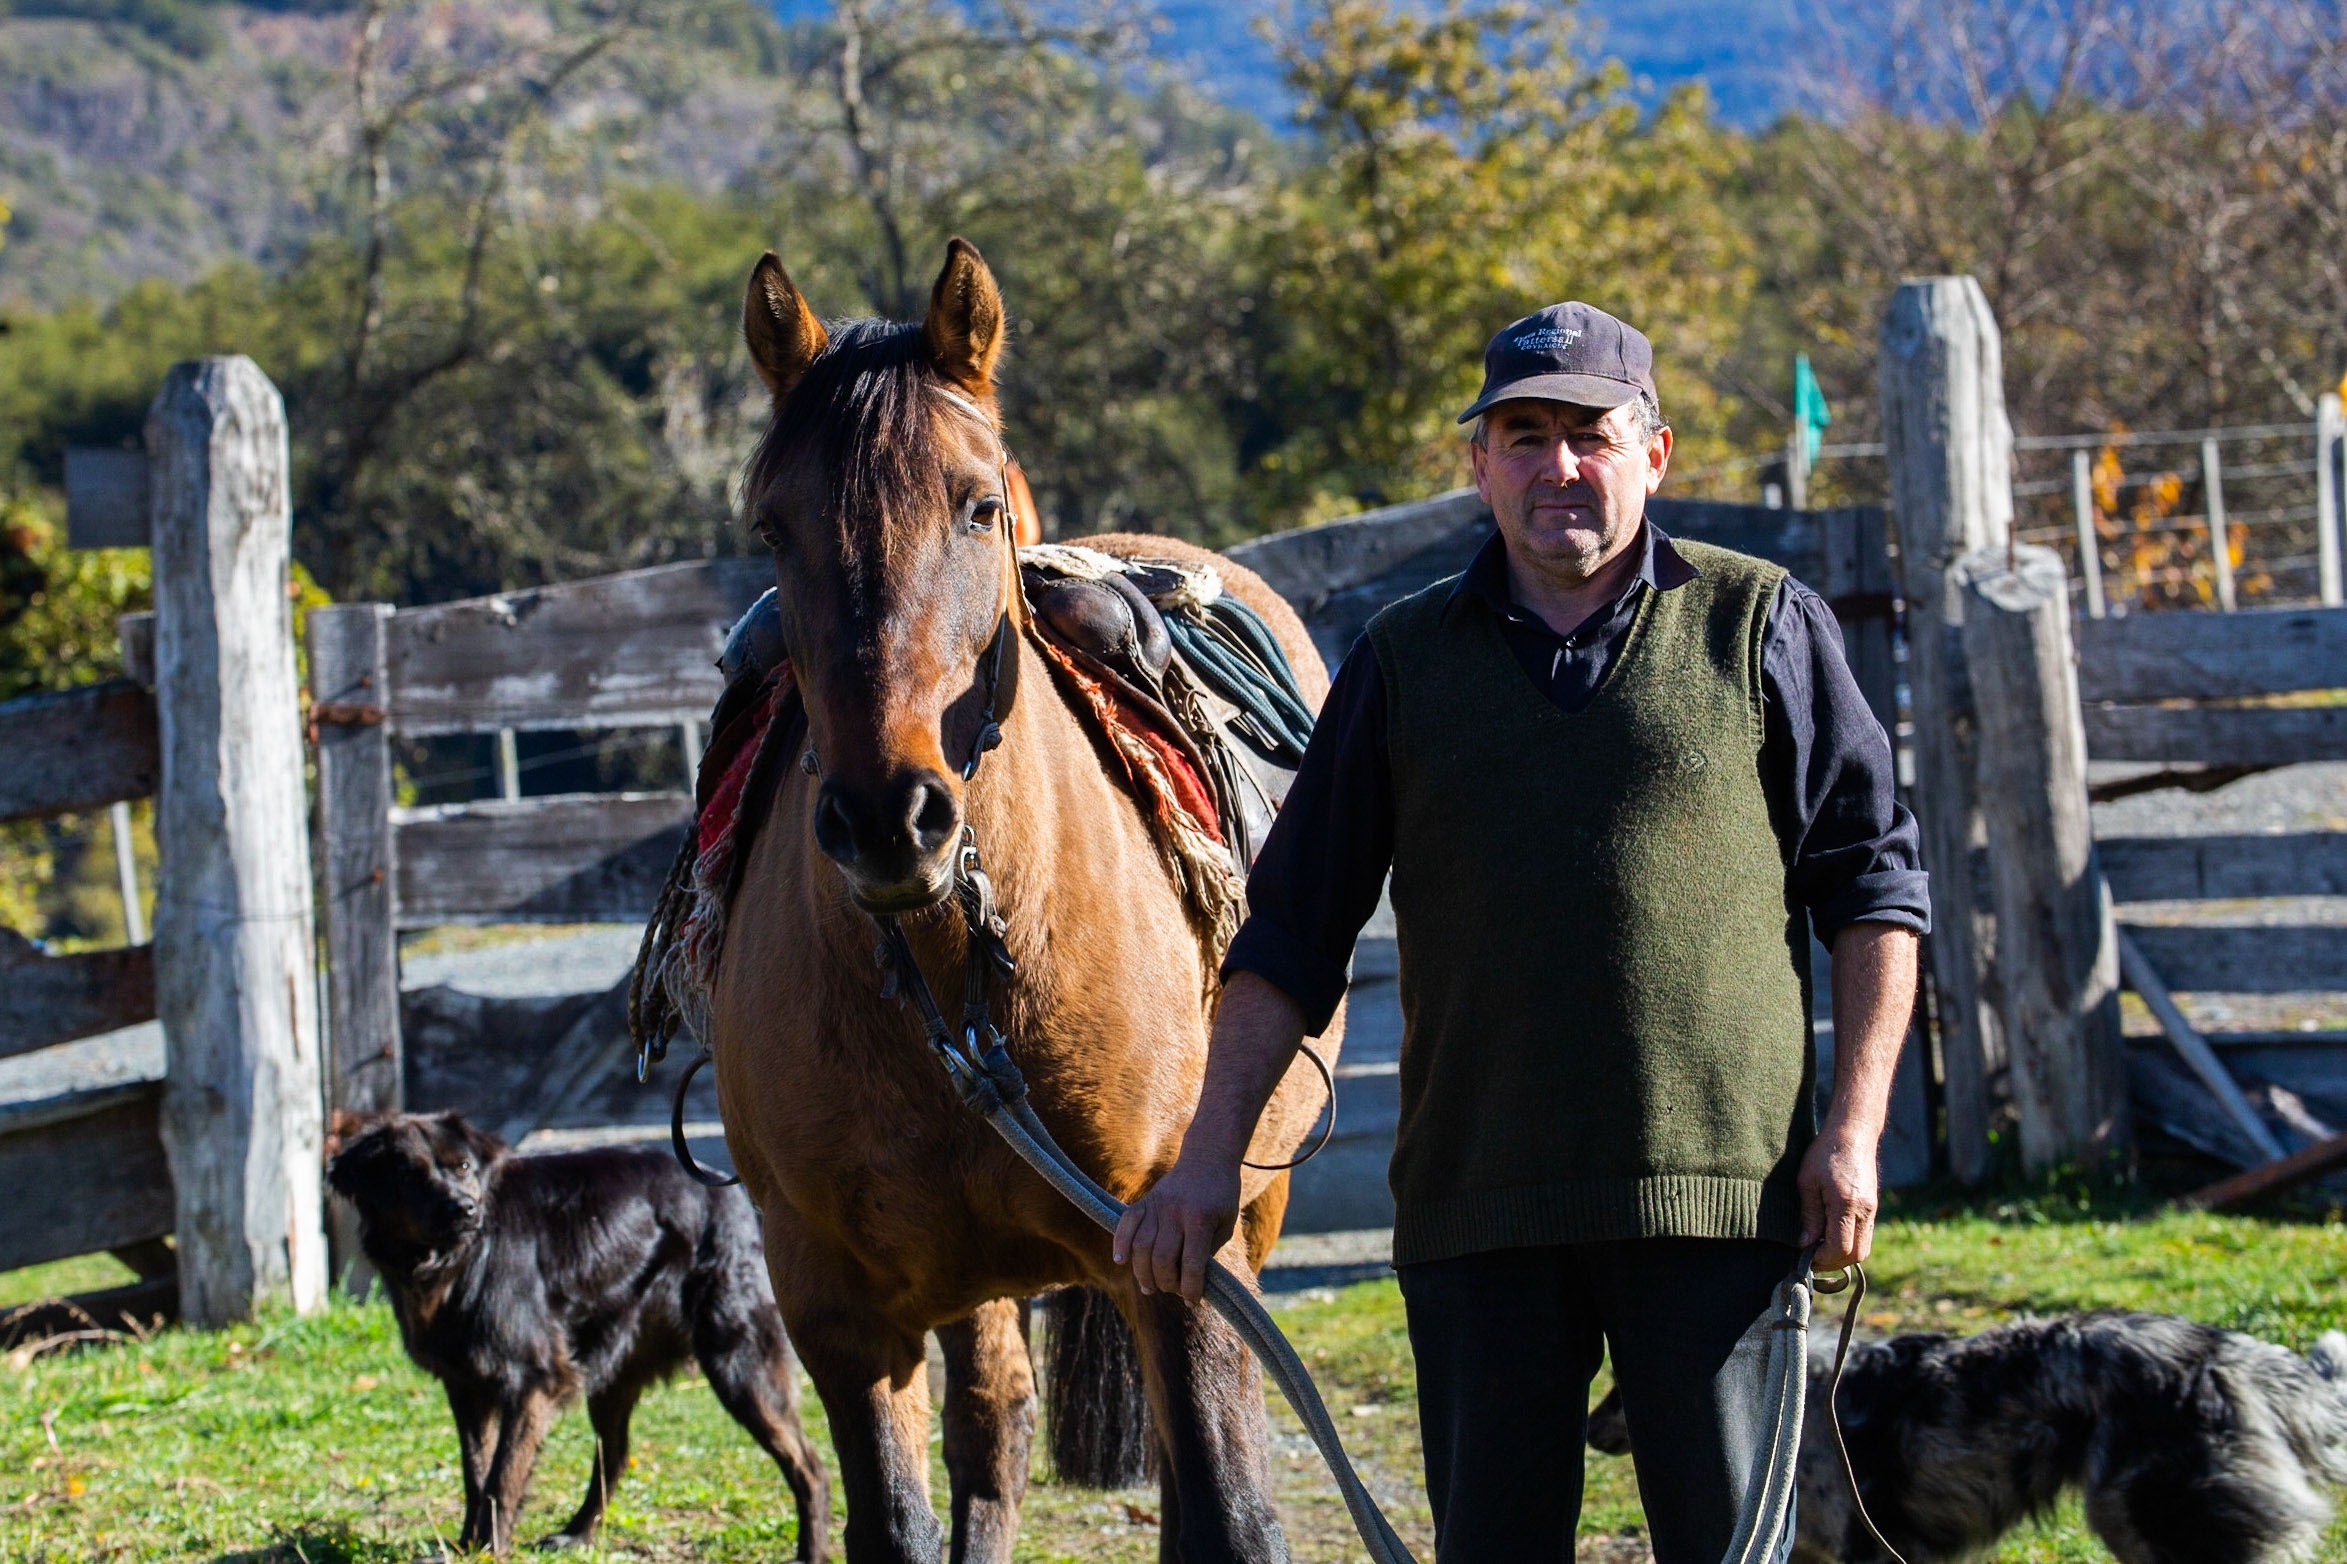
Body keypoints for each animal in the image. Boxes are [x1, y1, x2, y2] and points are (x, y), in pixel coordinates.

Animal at [326, 1108, 830, 1549]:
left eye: (464, 1166)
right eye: (410, 1175)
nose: (466, 1209)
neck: (457, 1263)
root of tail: (724, 1187)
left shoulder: (534, 1380)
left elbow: (502, 1476)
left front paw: (490, 1547)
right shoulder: (465, 1385)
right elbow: (475, 1471)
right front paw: (468, 1544)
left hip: (739, 1361)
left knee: (811, 1468)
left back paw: (811, 1548)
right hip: (612, 1367)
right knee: (617, 1452)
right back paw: (578, 1533)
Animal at [708, 234, 1342, 1559]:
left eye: (978, 504)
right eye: (773, 527)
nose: (887, 816)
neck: (958, 986)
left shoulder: (1184, 1272)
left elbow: (1232, 1515)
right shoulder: (840, 1315)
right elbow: (903, 1518)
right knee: (992, 1435)